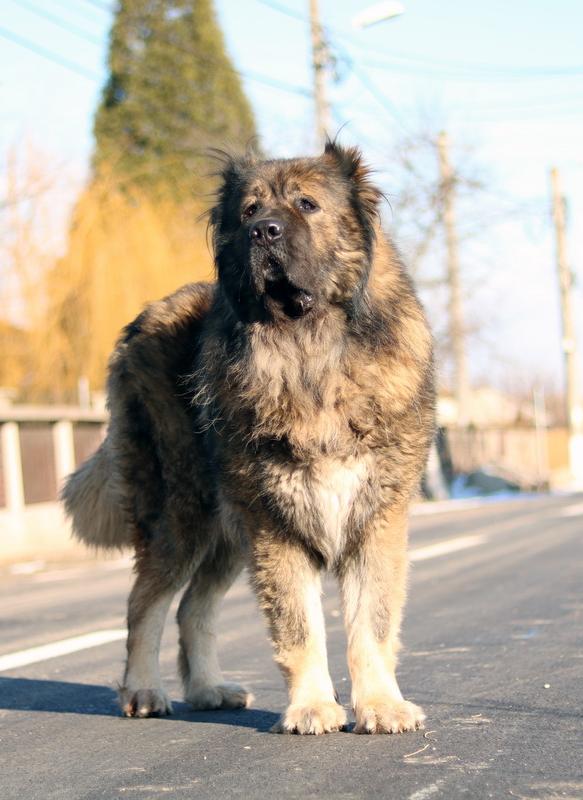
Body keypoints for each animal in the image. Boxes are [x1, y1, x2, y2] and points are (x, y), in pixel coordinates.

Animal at [64, 141, 438, 736]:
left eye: (307, 204)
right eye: (248, 213)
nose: (265, 231)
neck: (309, 355)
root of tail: (142, 318)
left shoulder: (373, 520)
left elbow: (370, 625)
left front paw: (381, 706)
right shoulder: (275, 526)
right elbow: (299, 626)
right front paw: (312, 708)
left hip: (225, 532)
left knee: (192, 607)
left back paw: (208, 689)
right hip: (183, 515)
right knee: (145, 603)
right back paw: (144, 691)